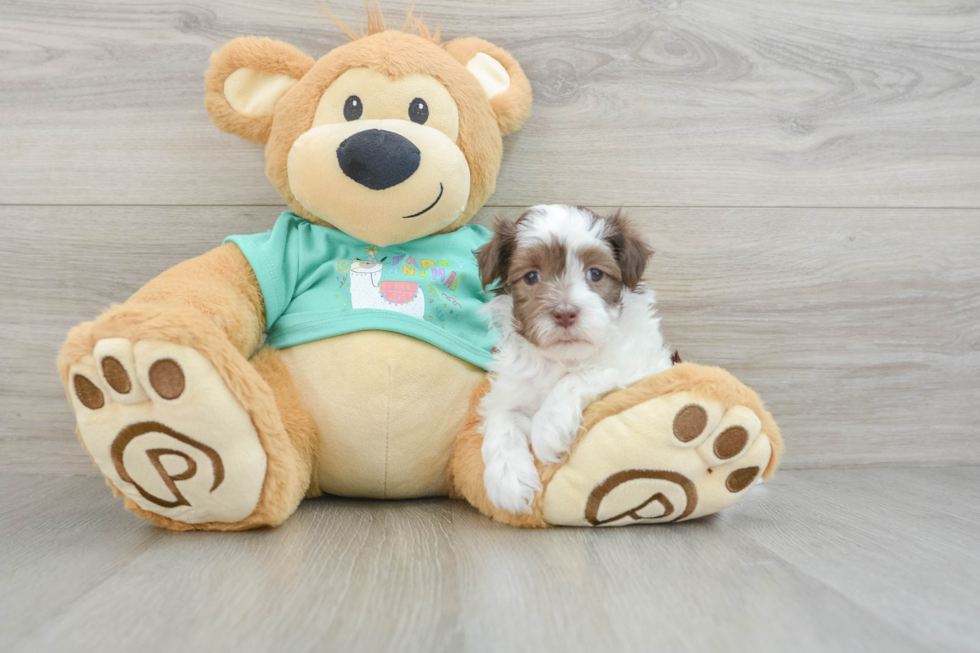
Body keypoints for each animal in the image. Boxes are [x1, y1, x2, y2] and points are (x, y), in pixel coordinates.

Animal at [472, 205, 672, 516]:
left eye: (595, 274)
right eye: (531, 277)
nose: (565, 312)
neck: (564, 358)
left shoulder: (640, 363)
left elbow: (584, 375)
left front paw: (547, 429)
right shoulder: (512, 388)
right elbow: (501, 420)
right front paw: (508, 481)